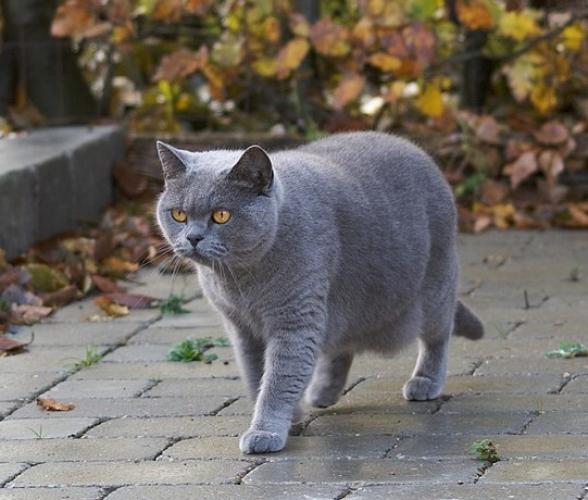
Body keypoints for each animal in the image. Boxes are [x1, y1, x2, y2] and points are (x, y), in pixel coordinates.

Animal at [155, 132, 482, 454]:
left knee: (438, 335)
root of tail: (412, 146)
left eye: (221, 215)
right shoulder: (241, 327)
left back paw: (424, 382)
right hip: (345, 305)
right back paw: (323, 393)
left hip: (433, 288)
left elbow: (278, 379)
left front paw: (265, 432)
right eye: (179, 214)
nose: (193, 238)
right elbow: (255, 373)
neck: (240, 283)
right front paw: (291, 417)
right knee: (342, 346)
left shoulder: (295, 319)